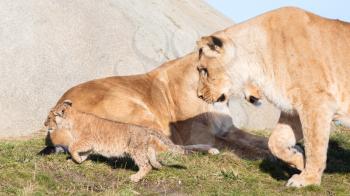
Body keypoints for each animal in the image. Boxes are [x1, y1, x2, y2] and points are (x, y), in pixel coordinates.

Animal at [196, 6, 350, 187]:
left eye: (203, 70)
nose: (199, 95)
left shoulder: (317, 103)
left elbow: (315, 144)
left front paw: (307, 179)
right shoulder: (292, 111)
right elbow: (275, 141)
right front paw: (298, 159)